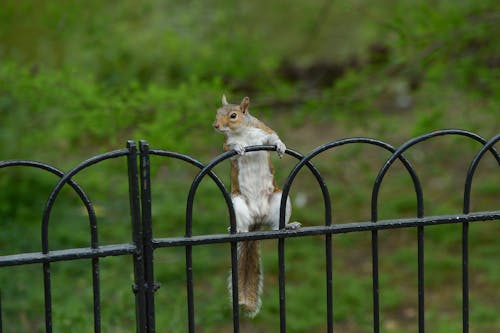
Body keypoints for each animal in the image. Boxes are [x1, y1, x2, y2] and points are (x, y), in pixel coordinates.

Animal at [212, 94, 300, 316]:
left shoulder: (264, 131)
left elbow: (274, 137)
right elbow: (231, 148)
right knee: (243, 228)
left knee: (277, 228)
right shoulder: (227, 145)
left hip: (280, 200)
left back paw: (289, 226)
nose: (215, 125)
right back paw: (237, 230)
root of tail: (257, 222)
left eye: (233, 115)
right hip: (237, 204)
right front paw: (238, 148)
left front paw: (281, 146)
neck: (242, 132)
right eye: (217, 113)